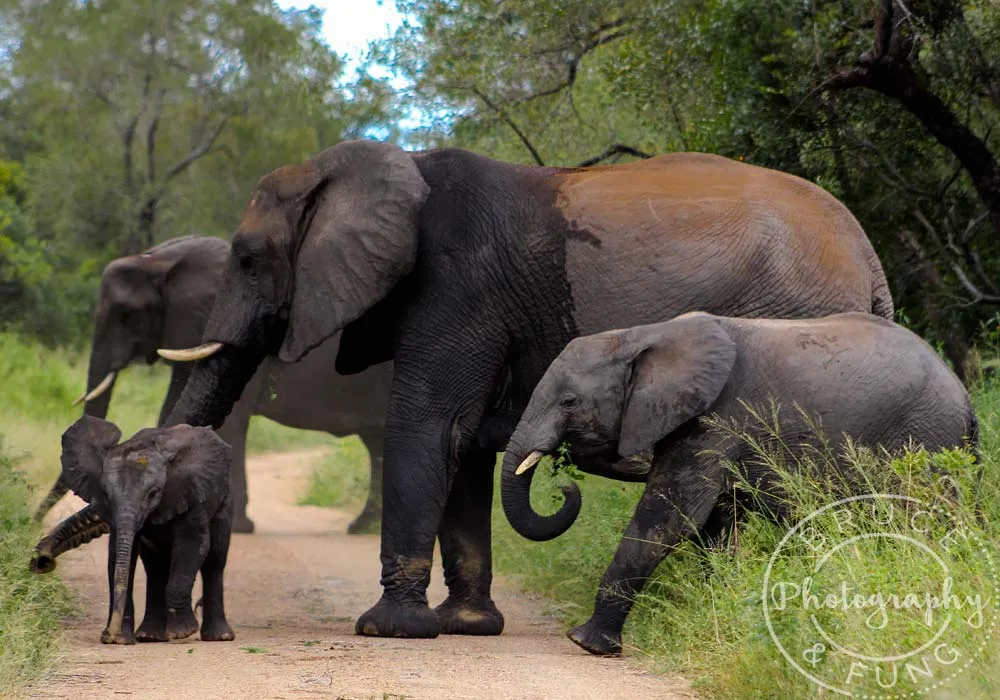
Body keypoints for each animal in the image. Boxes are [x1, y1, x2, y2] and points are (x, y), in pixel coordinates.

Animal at [34, 235, 392, 535]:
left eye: (128, 315)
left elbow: (229, 421)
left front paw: (236, 528)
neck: (158, 259)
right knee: (377, 444)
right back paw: (363, 528)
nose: (33, 521)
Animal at [59, 416, 236, 645]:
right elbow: (117, 553)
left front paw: (182, 633)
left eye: (153, 494)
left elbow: (192, 545)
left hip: (224, 502)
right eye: (105, 494)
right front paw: (122, 640)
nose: (108, 636)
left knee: (215, 561)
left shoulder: (192, 494)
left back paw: (219, 637)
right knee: (155, 567)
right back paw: (149, 636)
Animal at [155, 140, 894, 639]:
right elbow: (464, 441)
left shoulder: (458, 287)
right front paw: (466, 625)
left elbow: (430, 425)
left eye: (248, 259)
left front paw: (388, 628)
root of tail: (869, 259)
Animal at [501, 312, 978, 655]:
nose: (566, 486)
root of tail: (966, 398)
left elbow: (668, 519)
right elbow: (713, 528)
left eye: (569, 401)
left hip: (924, 444)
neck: (642, 335)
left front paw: (586, 642)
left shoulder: (714, 421)